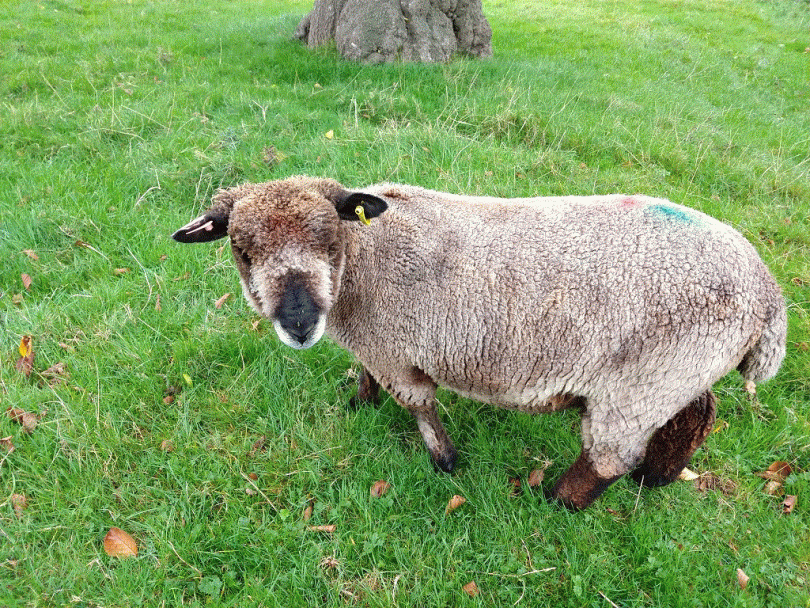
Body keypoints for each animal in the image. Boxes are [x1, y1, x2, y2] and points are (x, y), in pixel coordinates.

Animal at [172, 176, 787, 510]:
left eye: (330, 241)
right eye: (242, 250)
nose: (299, 323)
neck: (362, 267)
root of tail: (767, 293)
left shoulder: (396, 352)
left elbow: (420, 406)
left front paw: (445, 461)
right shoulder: (375, 346)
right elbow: (368, 378)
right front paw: (360, 402)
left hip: (645, 380)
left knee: (609, 455)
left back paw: (558, 502)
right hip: (678, 370)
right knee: (697, 414)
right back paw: (657, 476)